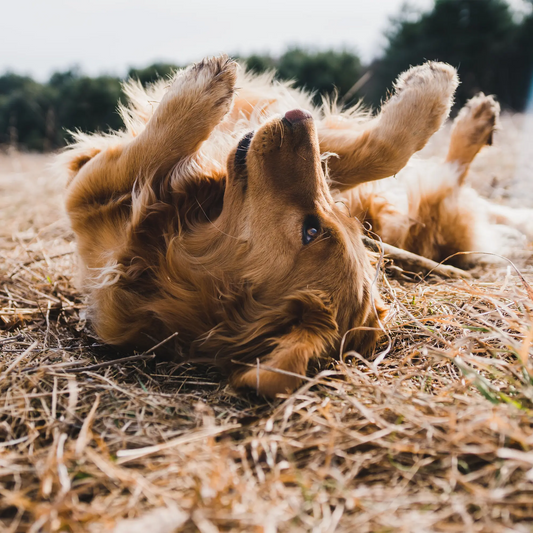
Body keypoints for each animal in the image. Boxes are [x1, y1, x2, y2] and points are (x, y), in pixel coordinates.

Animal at [59, 55, 532, 394]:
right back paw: (477, 119)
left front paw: (201, 91)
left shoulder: (88, 198)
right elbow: (375, 153)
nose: (299, 117)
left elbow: (151, 151)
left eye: (312, 230)